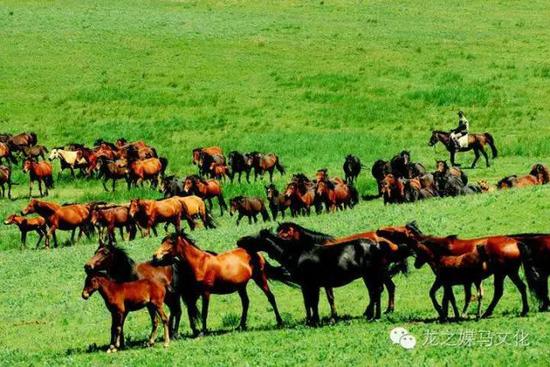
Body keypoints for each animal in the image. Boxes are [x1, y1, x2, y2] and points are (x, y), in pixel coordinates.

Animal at [153, 233, 286, 336]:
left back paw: (280, 322)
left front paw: (203, 332)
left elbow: (204, 312)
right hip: (241, 286)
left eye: (170, 242)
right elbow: (191, 312)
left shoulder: (205, 292)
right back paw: (241, 326)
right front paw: (195, 331)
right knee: (246, 302)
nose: (155, 256)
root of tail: (257, 253)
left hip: (260, 278)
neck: (200, 263)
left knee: (270, 297)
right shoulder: (194, 294)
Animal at [237, 229, 392, 326]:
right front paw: (314, 320)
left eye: (254, 237)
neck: (296, 254)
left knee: (376, 292)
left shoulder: (308, 284)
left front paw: (312, 321)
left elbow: (310, 303)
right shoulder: (312, 285)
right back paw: (375, 315)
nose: (239, 241)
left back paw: (374, 316)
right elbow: (312, 303)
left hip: (371, 274)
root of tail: (376, 244)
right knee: (376, 292)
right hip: (369, 276)